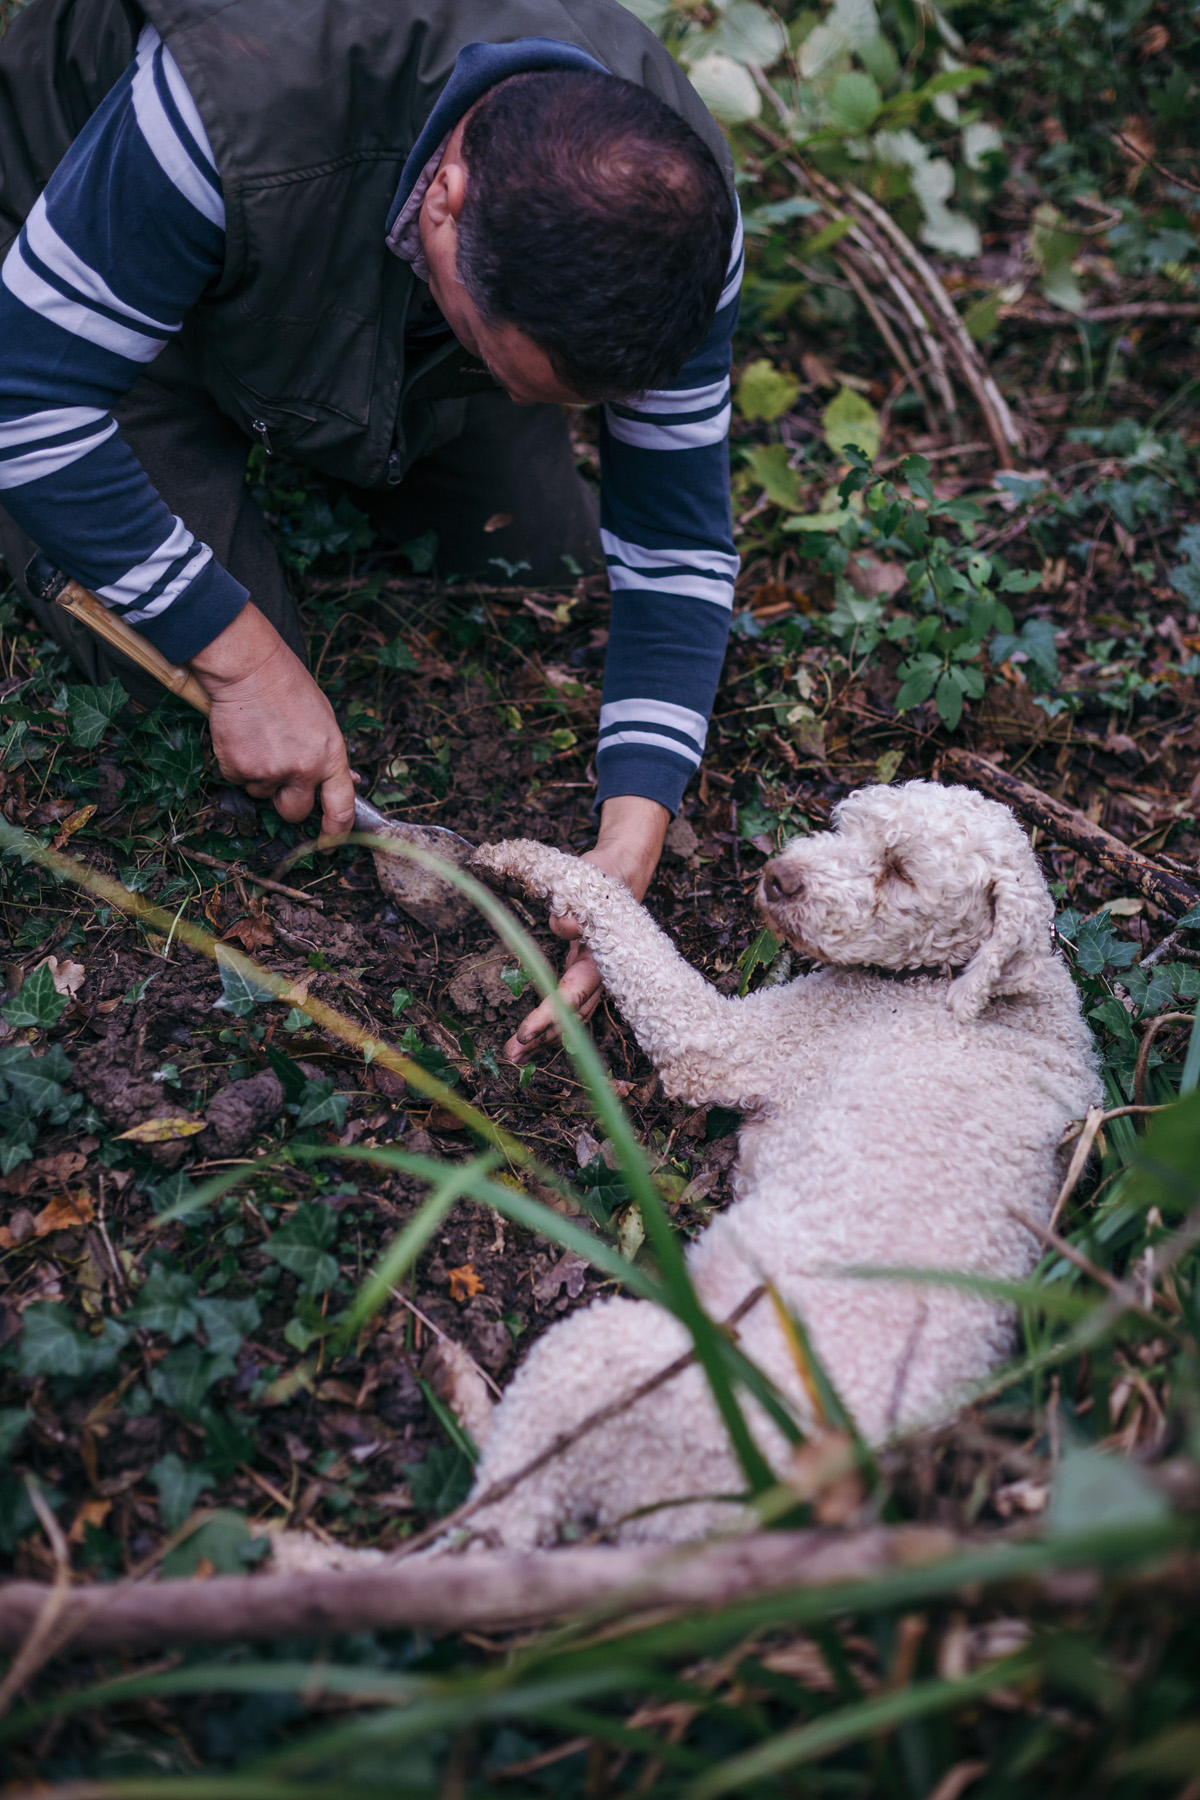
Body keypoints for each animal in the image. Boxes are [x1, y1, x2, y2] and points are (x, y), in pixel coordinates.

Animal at [456, 781, 1101, 1555]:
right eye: (845, 825)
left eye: (900, 871)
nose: (777, 877)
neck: (993, 995)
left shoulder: (724, 1040)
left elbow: (613, 903)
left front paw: (516, 859)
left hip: (611, 1368)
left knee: (495, 1519)